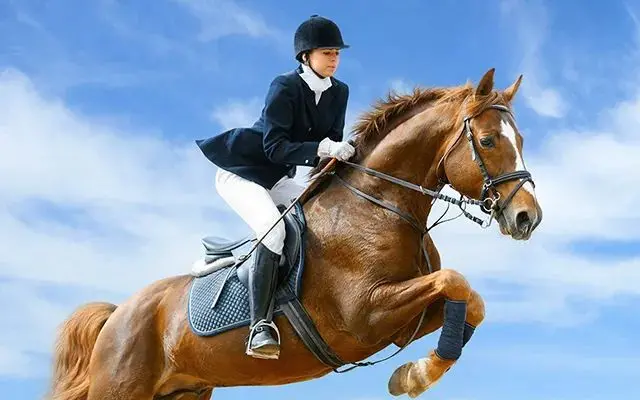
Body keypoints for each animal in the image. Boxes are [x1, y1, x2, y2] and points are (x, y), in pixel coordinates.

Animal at [47, 68, 542, 400]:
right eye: (488, 141)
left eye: (520, 140)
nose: (527, 218)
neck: (380, 204)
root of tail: (117, 314)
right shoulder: (365, 314)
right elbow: (455, 281)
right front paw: (415, 376)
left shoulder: (405, 320)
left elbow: (470, 301)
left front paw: (412, 374)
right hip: (122, 387)